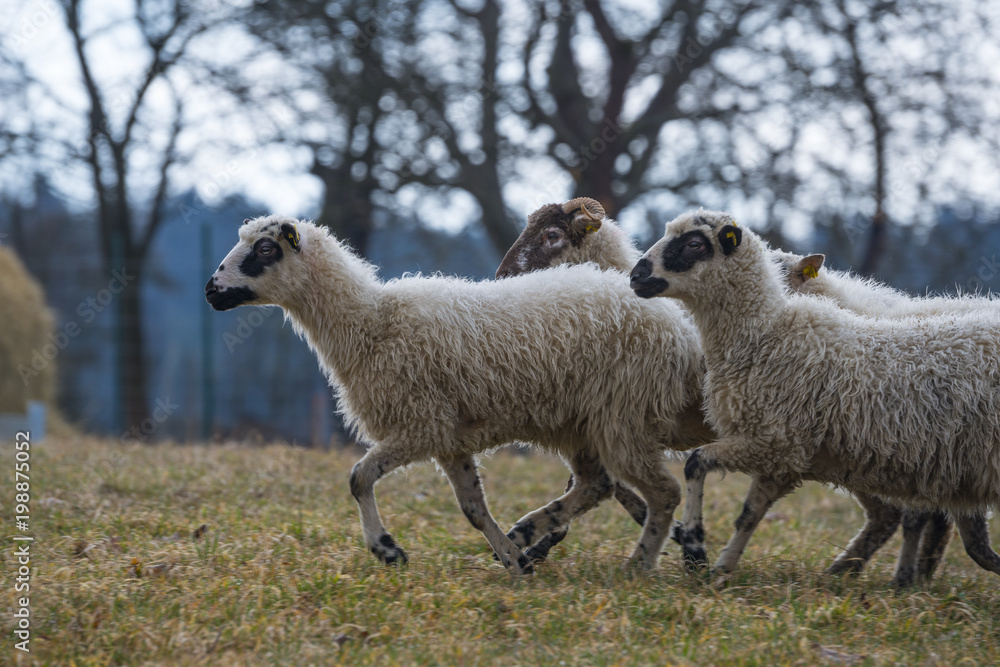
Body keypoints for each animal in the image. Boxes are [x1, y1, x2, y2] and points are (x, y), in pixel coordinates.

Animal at [206, 215, 709, 573]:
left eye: (264, 249)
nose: (211, 290)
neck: (370, 322)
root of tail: (681, 331)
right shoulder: (449, 439)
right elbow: (473, 509)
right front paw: (513, 561)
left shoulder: (421, 425)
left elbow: (359, 478)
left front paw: (387, 550)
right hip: (585, 423)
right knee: (596, 485)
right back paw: (531, 532)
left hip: (620, 414)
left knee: (661, 491)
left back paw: (641, 564)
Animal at [498, 199, 953, 586]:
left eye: (552, 235)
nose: (502, 276)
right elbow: (609, 487)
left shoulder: (623, 418)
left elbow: (614, 486)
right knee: (894, 513)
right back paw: (867, 574)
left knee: (911, 513)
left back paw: (899, 578)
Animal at [629, 209, 1000, 582]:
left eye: (694, 244)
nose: (636, 276)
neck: (764, 335)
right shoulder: (782, 456)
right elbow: (749, 513)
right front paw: (721, 568)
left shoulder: (772, 441)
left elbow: (696, 464)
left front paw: (694, 548)